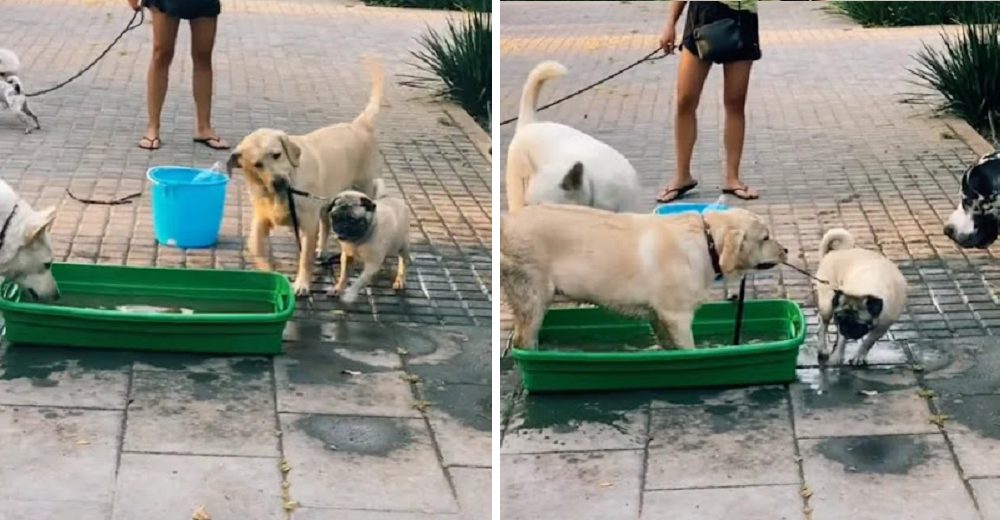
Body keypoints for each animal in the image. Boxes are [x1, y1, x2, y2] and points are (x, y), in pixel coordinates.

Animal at [229, 57, 382, 296]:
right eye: (257, 164)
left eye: (277, 154)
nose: (279, 182)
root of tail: (358, 124)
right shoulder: (262, 219)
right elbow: (257, 247)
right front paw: (269, 271)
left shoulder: (307, 226)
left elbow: (304, 258)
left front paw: (301, 283)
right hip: (330, 201)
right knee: (326, 224)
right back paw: (322, 250)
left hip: (361, 188)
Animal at [500, 204, 788, 350]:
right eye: (765, 238)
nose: (785, 250)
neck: (707, 243)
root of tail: (507, 221)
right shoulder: (677, 316)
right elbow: (689, 349)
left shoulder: (659, 317)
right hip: (531, 295)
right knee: (523, 340)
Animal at [816, 228, 912, 366]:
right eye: (841, 319)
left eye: (860, 324)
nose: (847, 330)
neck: (864, 287)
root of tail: (838, 251)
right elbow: (842, 341)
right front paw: (838, 355)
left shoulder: (882, 327)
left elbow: (868, 342)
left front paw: (859, 356)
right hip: (827, 305)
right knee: (823, 326)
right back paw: (822, 348)